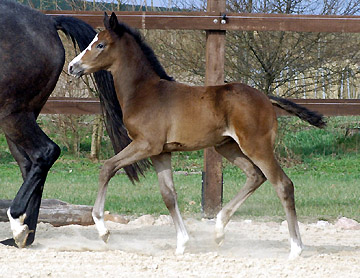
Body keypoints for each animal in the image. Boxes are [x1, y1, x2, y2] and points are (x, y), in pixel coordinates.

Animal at [0, 0, 144, 248]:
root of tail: (48, 22)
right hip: (23, 114)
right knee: (30, 164)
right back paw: (24, 236)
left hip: (12, 113)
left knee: (44, 152)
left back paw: (19, 226)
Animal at [69, 12, 324, 260]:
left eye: (100, 44)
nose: (72, 66)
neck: (145, 92)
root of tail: (265, 98)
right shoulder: (161, 152)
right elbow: (168, 195)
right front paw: (182, 244)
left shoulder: (146, 144)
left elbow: (107, 168)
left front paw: (103, 230)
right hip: (227, 146)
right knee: (255, 176)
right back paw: (218, 231)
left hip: (256, 146)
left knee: (283, 184)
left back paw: (295, 249)